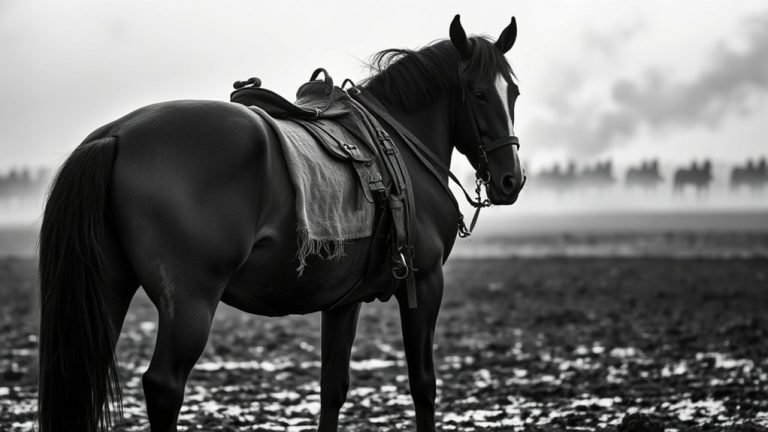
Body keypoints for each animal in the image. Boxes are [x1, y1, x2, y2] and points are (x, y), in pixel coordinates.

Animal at [37, 15, 524, 432]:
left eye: (514, 93)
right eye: (479, 93)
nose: (511, 180)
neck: (398, 142)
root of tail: (116, 134)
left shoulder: (343, 301)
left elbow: (333, 388)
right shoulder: (425, 282)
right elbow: (423, 385)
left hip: (109, 287)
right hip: (190, 301)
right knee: (164, 387)